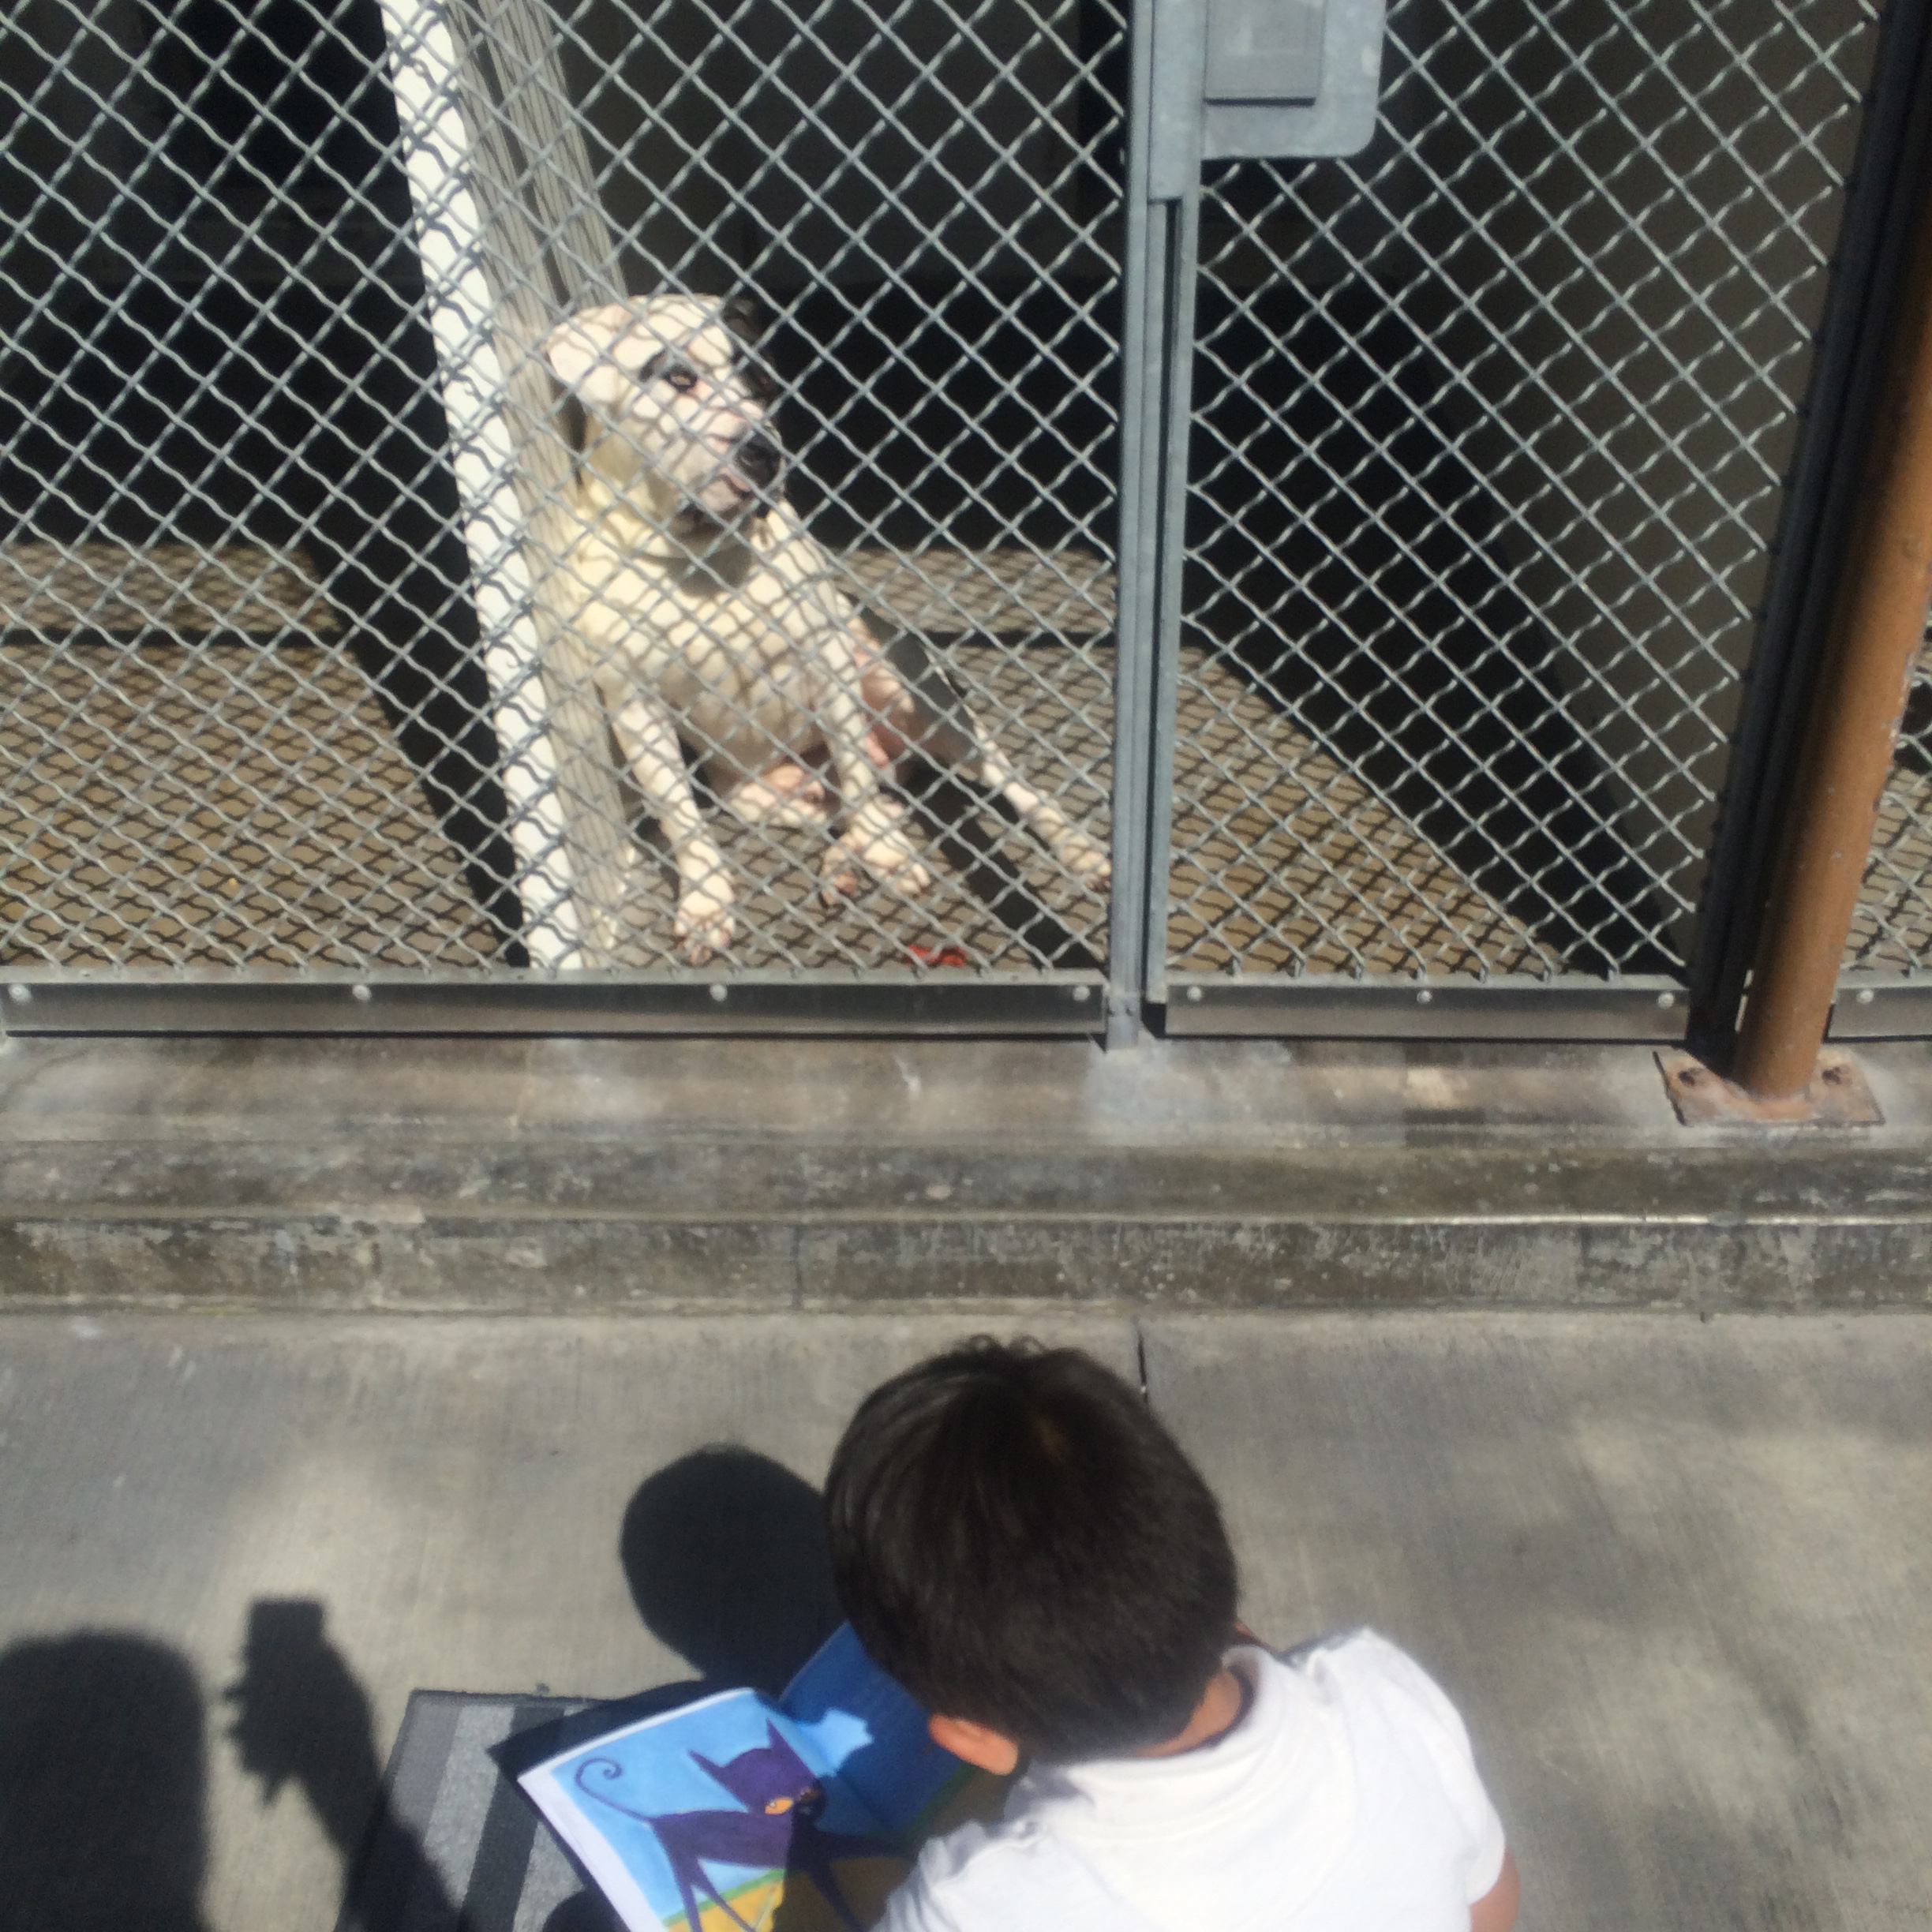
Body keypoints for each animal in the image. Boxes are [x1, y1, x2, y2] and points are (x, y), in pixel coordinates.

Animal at [545, 295, 1120, 966]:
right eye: (678, 378)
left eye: (762, 385)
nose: (763, 451)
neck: (702, 561)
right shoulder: (634, 706)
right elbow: (681, 819)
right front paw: (706, 903)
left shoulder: (826, 662)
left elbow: (856, 768)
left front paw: (888, 851)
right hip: (760, 797)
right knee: (857, 801)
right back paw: (847, 863)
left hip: (914, 696)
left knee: (990, 780)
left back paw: (1072, 849)